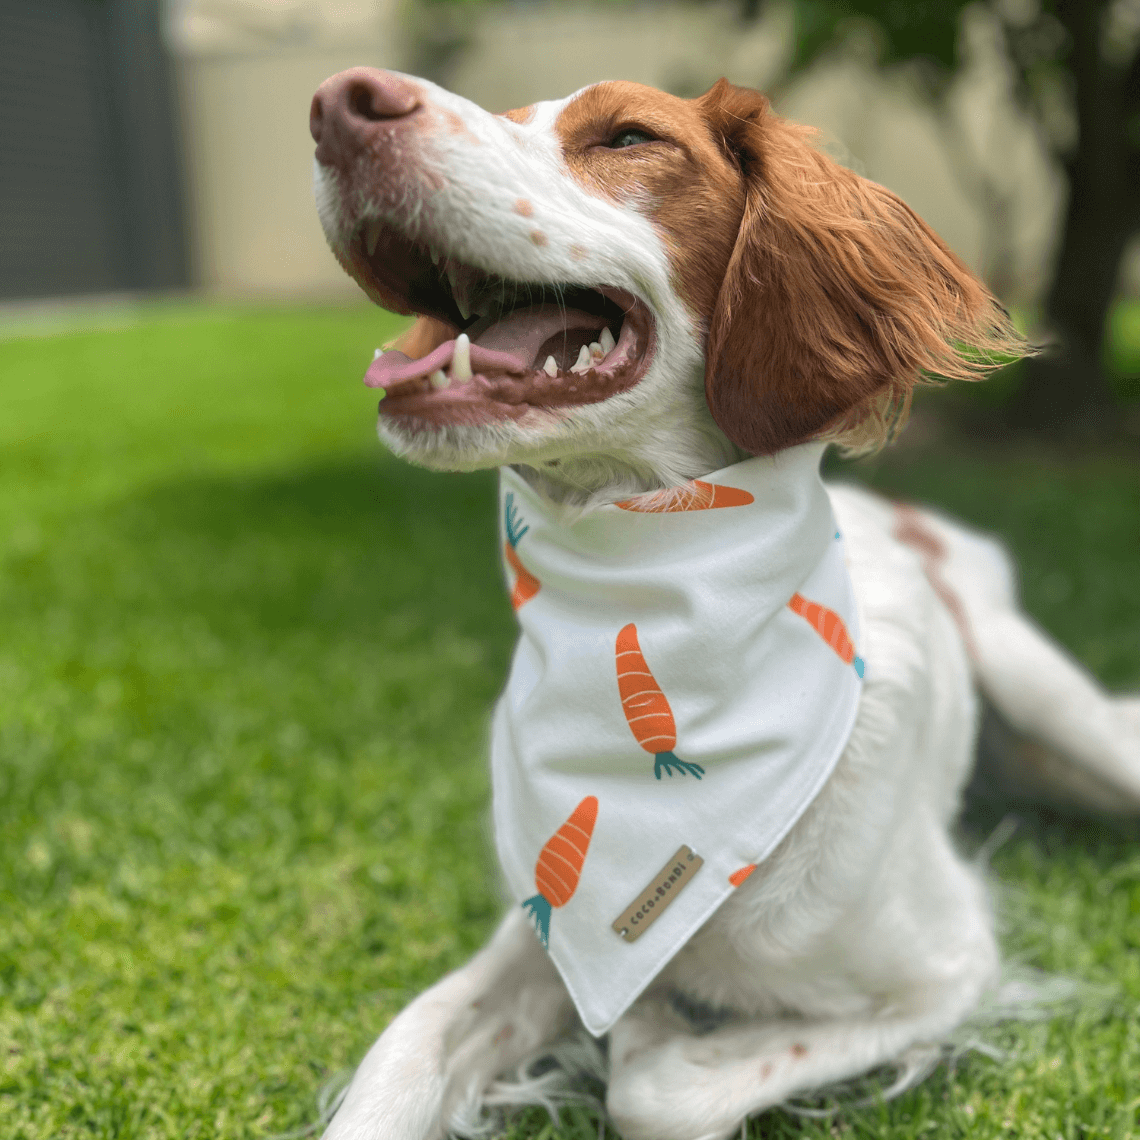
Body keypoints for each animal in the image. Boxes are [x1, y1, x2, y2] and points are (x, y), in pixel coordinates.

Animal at [305, 68, 1140, 1140]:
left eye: (627, 136)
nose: (339, 102)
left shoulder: (949, 968)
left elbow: (658, 1091)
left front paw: (654, 1023)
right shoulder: (537, 932)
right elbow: (401, 1056)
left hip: (1056, 711)